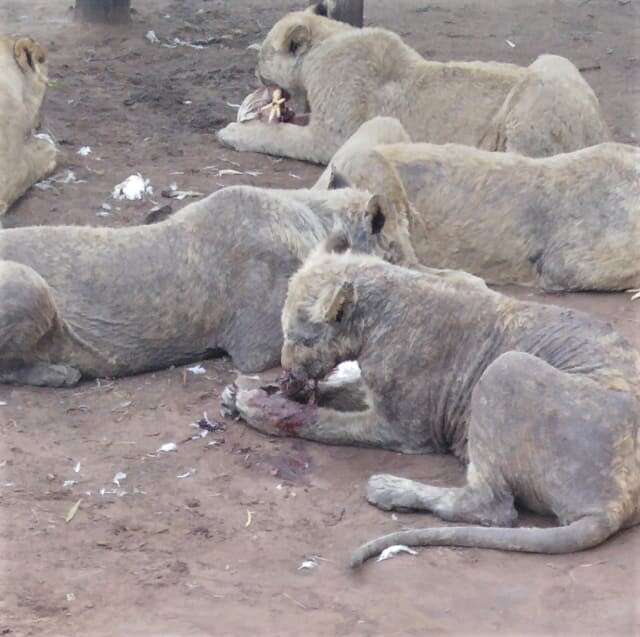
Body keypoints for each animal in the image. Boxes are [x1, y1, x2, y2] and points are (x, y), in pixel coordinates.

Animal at [219, 7, 608, 164]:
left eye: (260, 69)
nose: (254, 76)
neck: (329, 41)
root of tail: (599, 131)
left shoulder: (331, 136)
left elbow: (280, 137)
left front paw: (232, 132)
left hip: (537, 91)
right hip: (554, 61)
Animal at [222, 238, 640, 560]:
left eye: (296, 337)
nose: (286, 368)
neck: (378, 309)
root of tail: (613, 503)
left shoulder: (401, 429)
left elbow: (324, 422)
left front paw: (262, 407)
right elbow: (337, 390)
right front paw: (243, 391)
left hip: (505, 369)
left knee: (493, 507)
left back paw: (390, 489)